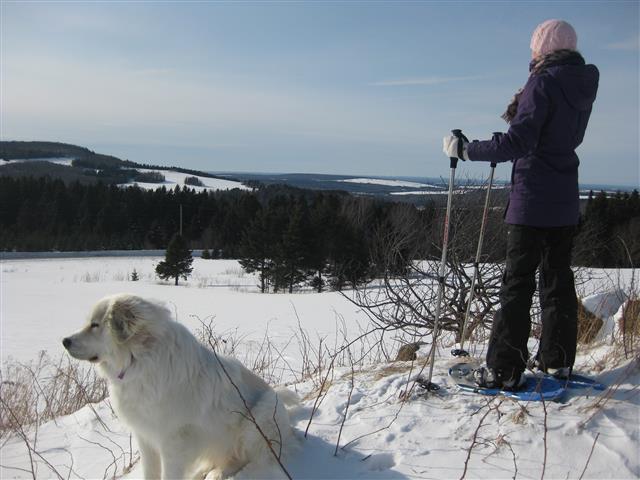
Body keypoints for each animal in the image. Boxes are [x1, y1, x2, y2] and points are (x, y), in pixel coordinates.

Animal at [62, 294, 298, 478]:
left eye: (95, 325)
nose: (65, 341)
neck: (138, 360)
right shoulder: (145, 437)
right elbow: (150, 472)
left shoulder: (174, 442)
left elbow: (170, 474)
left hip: (258, 418)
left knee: (244, 458)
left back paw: (218, 473)